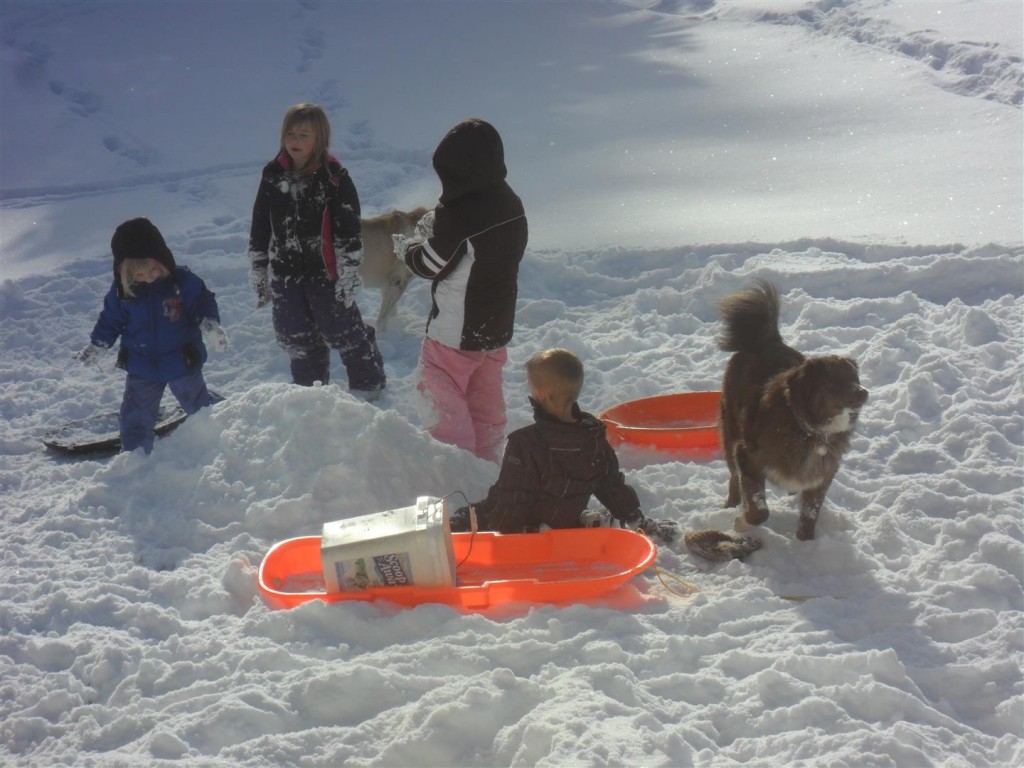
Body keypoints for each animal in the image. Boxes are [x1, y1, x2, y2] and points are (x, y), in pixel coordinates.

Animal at [716, 280, 868, 540]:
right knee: (733, 475)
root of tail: (768, 340)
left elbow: (810, 513)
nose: (864, 392)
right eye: (834, 382)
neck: (810, 430)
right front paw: (742, 521)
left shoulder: (823, 473)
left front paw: (806, 542)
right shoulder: (747, 455)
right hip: (731, 431)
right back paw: (732, 502)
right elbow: (758, 509)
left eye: (855, 378)